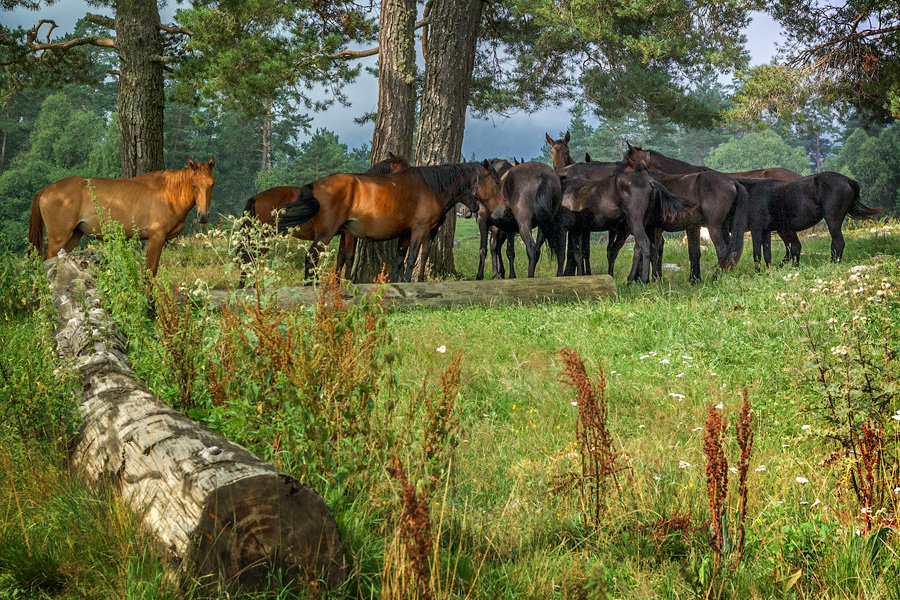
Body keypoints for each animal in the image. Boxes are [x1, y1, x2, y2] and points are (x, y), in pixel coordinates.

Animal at [29, 157, 215, 274]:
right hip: (59, 238)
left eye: (212, 184)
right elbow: (150, 270)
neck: (168, 193)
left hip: (73, 236)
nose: (203, 216)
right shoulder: (156, 237)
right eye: (194, 184)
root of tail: (46, 190)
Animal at [236, 157, 400, 284]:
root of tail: (256, 197)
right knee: (250, 259)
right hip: (264, 237)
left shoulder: (342, 234)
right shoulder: (349, 235)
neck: (358, 193)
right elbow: (349, 258)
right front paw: (347, 282)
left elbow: (340, 259)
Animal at [278, 157, 482, 284]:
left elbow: (400, 259)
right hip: (325, 235)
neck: (428, 187)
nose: (473, 209)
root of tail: (316, 184)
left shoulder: (406, 233)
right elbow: (412, 258)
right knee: (311, 257)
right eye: (475, 182)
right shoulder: (419, 229)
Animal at [740, 173, 880, 268]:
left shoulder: (758, 229)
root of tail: (848, 180)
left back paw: (831, 264)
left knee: (838, 243)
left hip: (832, 219)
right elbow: (771, 253)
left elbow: (757, 254)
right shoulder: (770, 230)